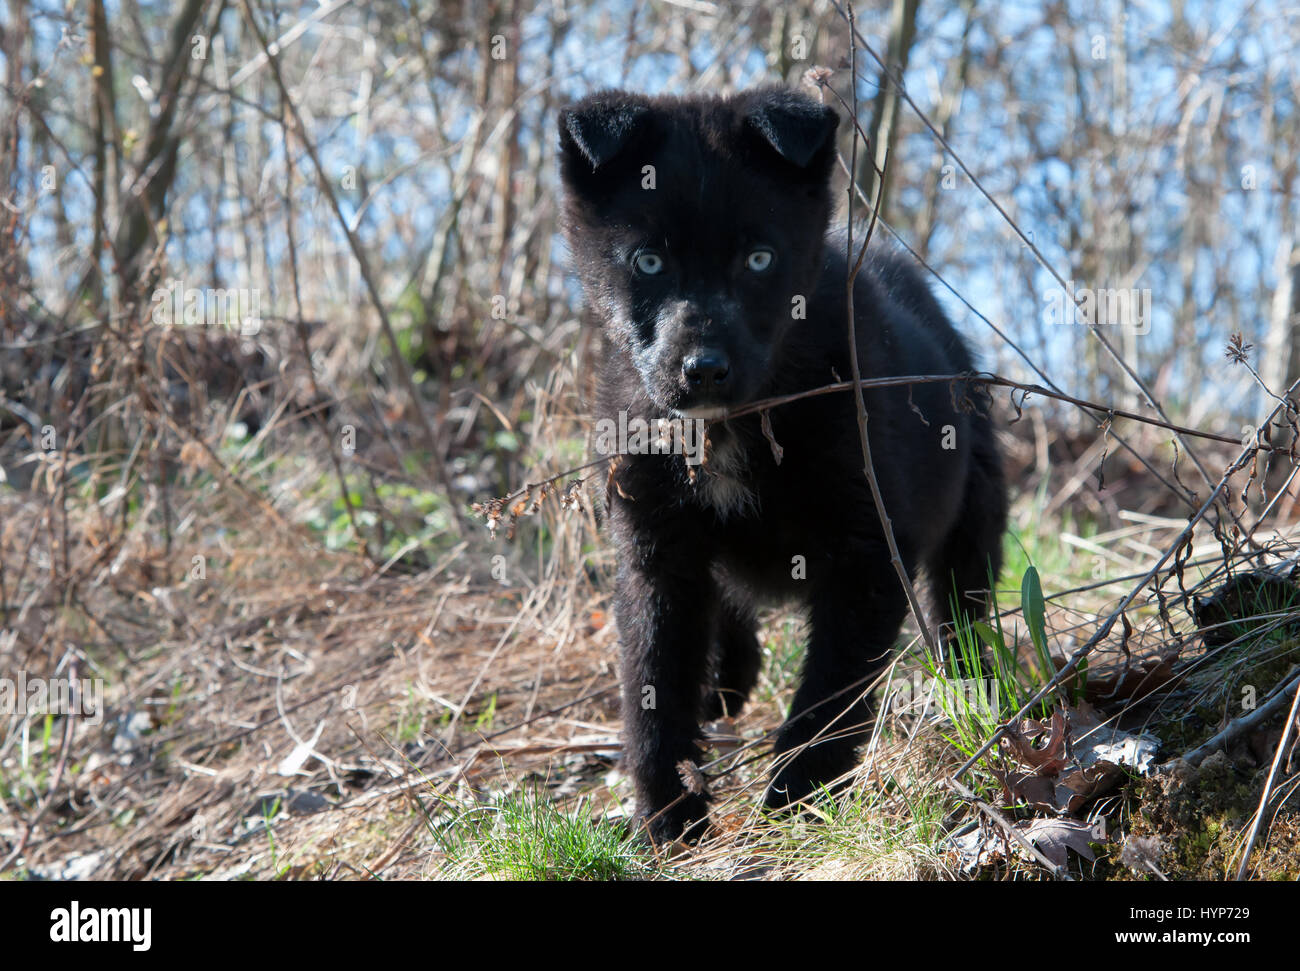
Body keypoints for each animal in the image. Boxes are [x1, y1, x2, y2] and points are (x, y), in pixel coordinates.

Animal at [556, 87, 1003, 842]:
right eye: (647, 263)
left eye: (760, 258)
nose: (704, 370)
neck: (730, 428)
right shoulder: (654, 547)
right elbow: (653, 681)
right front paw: (668, 817)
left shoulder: (866, 552)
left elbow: (827, 697)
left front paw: (798, 802)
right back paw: (726, 681)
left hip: (973, 513)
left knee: (962, 614)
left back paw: (978, 694)